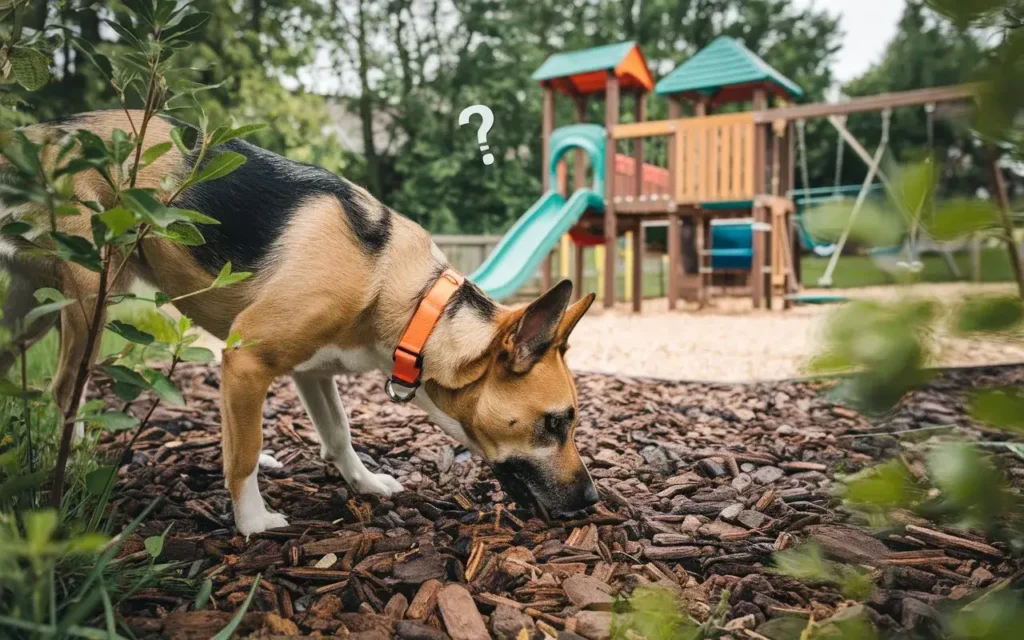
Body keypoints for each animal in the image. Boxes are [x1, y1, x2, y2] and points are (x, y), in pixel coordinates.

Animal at [0, 109, 598, 532]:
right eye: (556, 423)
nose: (593, 500)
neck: (405, 294)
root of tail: (39, 133)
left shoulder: (313, 373)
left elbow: (338, 433)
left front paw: (364, 484)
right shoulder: (247, 363)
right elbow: (242, 456)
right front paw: (252, 522)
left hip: (30, 311)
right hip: (89, 302)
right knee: (66, 389)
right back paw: (75, 459)